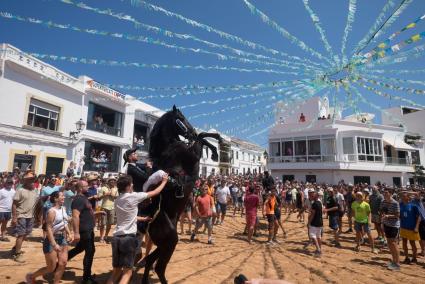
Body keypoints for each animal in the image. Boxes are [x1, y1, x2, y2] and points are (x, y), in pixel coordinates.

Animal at [142, 105, 222, 282]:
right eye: (181, 118)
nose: (191, 131)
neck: (168, 148)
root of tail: (150, 223)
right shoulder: (193, 155)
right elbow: (202, 136)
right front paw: (215, 147)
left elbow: (202, 137)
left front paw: (215, 149)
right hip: (171, 241)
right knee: (159, 267)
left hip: (164, 244)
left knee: (150, 260)